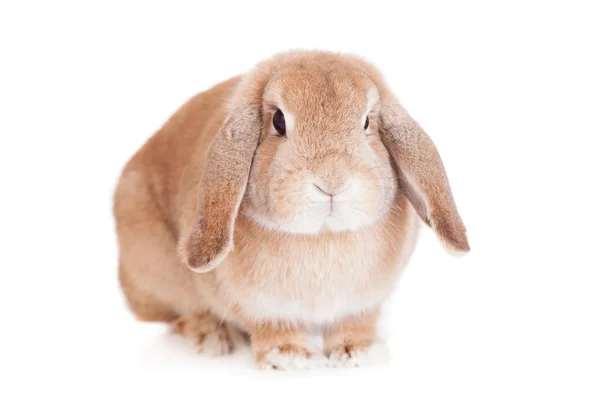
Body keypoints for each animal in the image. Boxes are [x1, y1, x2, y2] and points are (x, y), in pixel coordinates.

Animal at [112, 50, 468, 372]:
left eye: (367, 121)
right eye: (278, 120)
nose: (331, 182)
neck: (323, 237)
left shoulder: (362, 303)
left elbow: (354, 324)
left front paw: (358, 352)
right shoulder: (262, 307)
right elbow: (274, 328)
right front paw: (291, 357)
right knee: (179, 313)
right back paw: (212, 337)